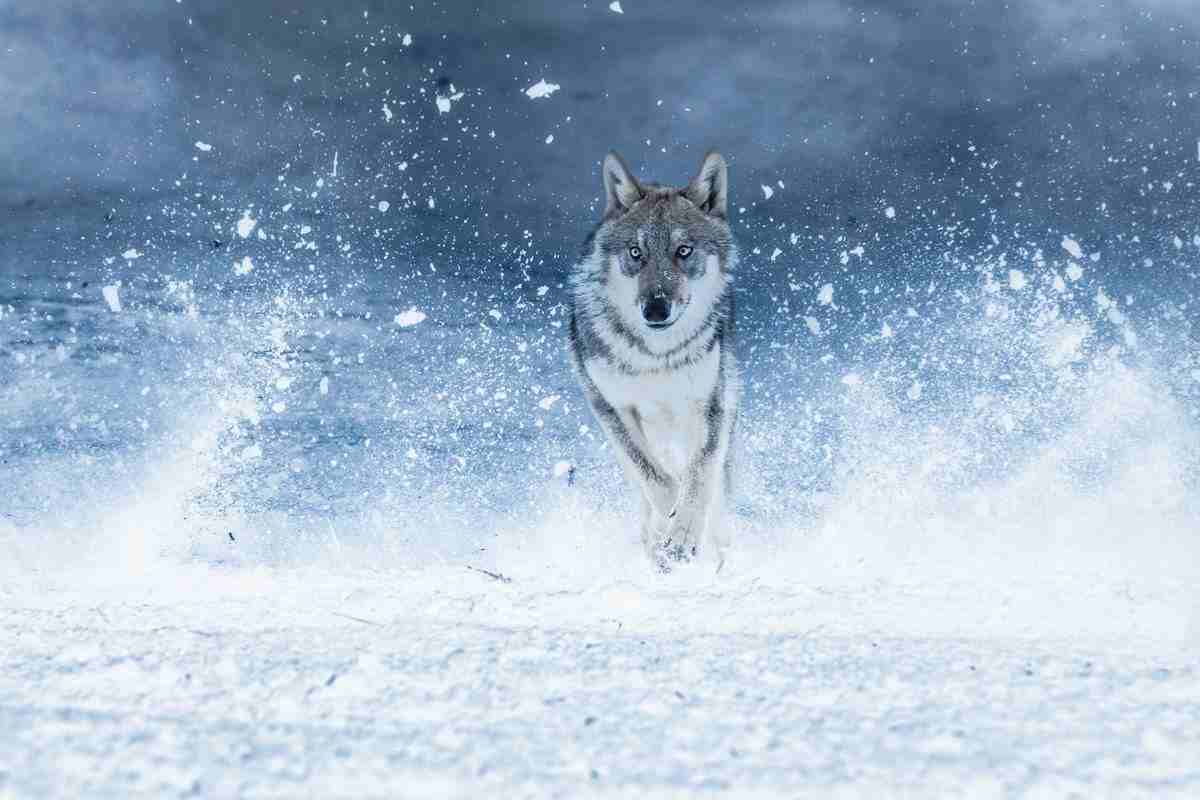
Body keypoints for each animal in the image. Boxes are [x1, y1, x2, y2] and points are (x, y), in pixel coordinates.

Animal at [569, 150, 739, 571]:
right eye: (636, 253)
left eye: (683, 251)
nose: (656, 309)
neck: (655, 357)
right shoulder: (608, 405)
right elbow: (653, 477)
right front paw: (667, 529)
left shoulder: (710, 405)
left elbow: (698, 479)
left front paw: (683, 536)